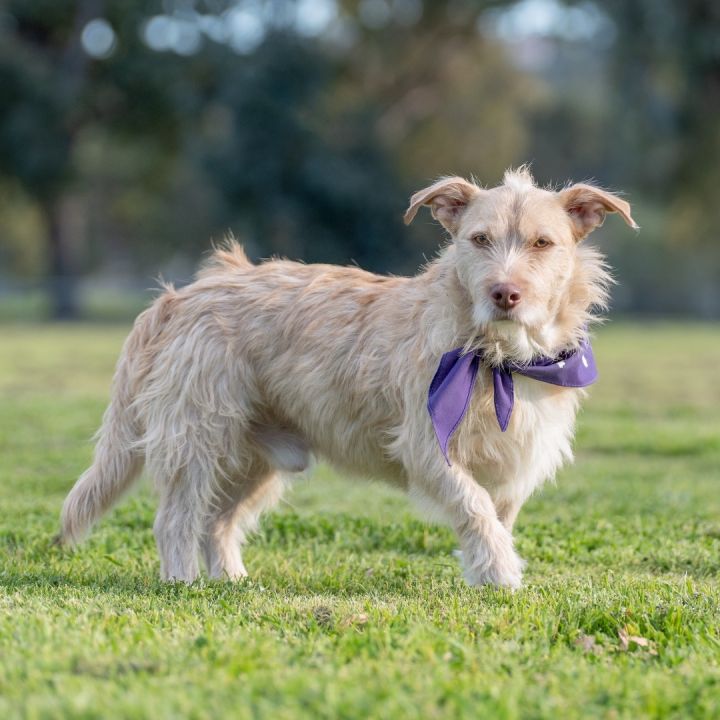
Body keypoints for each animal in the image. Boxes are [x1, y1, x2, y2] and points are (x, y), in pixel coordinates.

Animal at [60, 167, 636, 584]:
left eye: (542, 243)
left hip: (257, 459)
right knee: (176, 519)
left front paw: (489, 572)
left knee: (217, 523)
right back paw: (182, 582)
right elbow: (474, 507)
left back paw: (231, 581)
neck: (500, 357)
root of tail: (182, 294)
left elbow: (497, 518)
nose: (505, 293)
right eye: (478, 239)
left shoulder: (514, 461)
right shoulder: (428, 446)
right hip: (198, 439)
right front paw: (501, 575)